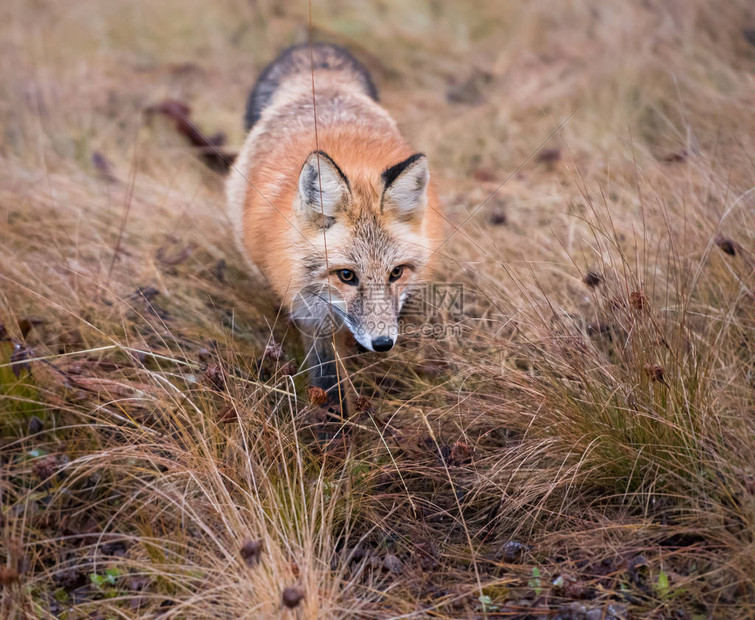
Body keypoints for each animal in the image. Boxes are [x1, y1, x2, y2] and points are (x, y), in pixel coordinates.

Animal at [227, 43, 446, 416]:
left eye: (396, 272)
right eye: (346, 275)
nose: (383, 343)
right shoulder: (310, 313)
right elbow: (326, 377)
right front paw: (334, 423)